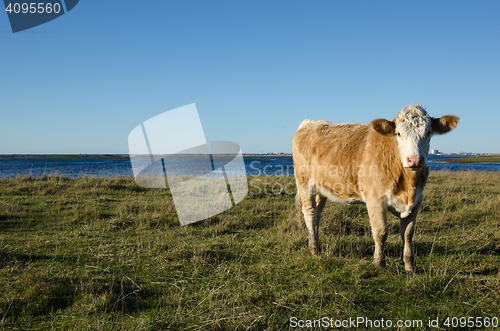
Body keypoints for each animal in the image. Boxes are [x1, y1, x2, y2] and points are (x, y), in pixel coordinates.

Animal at [292, 105, 460, 272]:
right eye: (398, 133)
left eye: (429, 132)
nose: (415, 160)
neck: (407, 186)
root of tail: (310, 123)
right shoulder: (375, 200)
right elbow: (381, 232)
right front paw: (379, 262)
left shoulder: (417, 201)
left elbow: (408, 234)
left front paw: (410, 265)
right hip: (304, 183)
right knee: (309, 213)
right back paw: (314, 248)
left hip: (322, 188)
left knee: (317, 215)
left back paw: (317, 244)